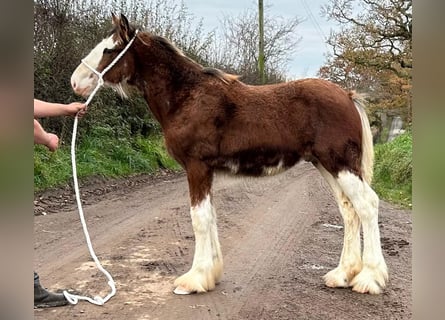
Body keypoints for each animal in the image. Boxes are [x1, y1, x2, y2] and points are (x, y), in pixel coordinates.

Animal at [71, 14, 386, 296]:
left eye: (109, 49)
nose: (75, 82)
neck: (187, 96)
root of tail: (347, 96)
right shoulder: (206, 171)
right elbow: (209, 216)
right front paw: (209, 274)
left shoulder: (197, 168)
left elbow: (199, 219)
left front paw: (193, 280)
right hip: (326, 165)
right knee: (349, 210)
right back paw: (342, 274)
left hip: (341, 164)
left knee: (367, 205)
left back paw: (369, 279)